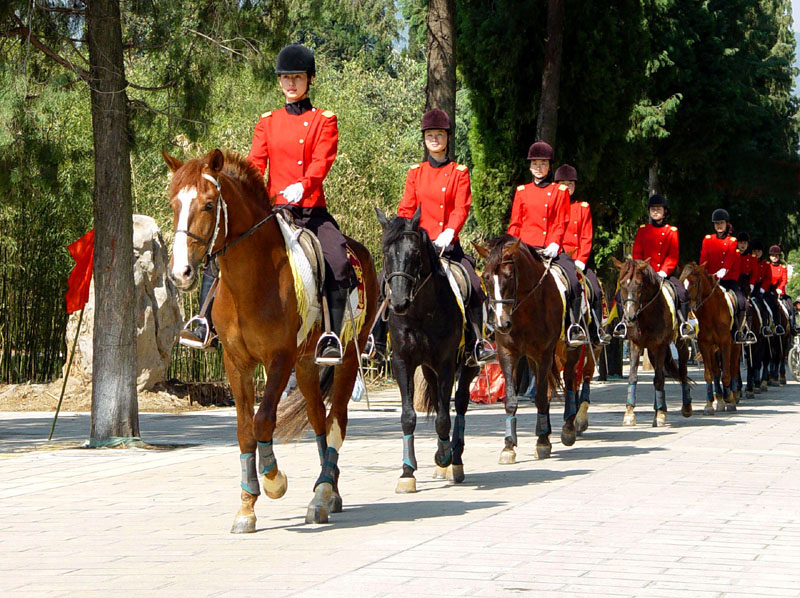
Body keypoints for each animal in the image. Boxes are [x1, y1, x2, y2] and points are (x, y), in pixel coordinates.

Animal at [162, 150, 378, 536]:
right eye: (174, 204)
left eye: (208, 204)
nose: (180, 272)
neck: (250, 278)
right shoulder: (237, 362)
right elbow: (245, 428)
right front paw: (247, 505)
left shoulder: (280, 358)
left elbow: (263, 420)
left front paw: (274, 480)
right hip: (306, 363)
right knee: (318, 418)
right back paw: (328, 493)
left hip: (347, 358)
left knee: (336, 419)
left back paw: (323, 492)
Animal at [376, 209, 482, 494]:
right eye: (386, 253)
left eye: (414, 254)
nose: (398, 302)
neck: (420, 312)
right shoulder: (403, 362)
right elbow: (408, 416)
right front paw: (406, 472)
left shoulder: (446, 363)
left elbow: (444, 417)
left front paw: (444, 456)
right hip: (427, 368)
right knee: (437, 400)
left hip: (467, 365)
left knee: (460, 404)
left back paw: (454, 459)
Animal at [476, 238, 580, 464]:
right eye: (486, 278)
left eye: (509, 276)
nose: (501, 324)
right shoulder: (508, 354)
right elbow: (511, 399)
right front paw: (508, 446)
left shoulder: (543, 354)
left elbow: (540, 397)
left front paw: (542, 442)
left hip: (569, 350)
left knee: (569, 380)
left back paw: (568, 428)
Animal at [616, 258, 692, 426]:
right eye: (622, 283)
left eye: (639, 284)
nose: (630, 317)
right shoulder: (635, 345)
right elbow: (633, 376)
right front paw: (629, 413)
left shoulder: (660, 346)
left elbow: (659, 379)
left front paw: (660, 415)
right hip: (650, 351)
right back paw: (660, 407)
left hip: (679, 344)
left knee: (682, 370)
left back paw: (685, 407)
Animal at [680, 264, 740, 414]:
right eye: (681, 282)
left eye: (695, 284)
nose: (687, 307)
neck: (712, 312)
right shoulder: (705, 345)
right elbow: (709, 374)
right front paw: (709, 404)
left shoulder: (725, 343)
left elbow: (727, 373)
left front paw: (729, 399)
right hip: (713, 349)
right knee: (716, 371)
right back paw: (719, 399)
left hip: (736, 346)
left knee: (733, 368)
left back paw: (733, 396)